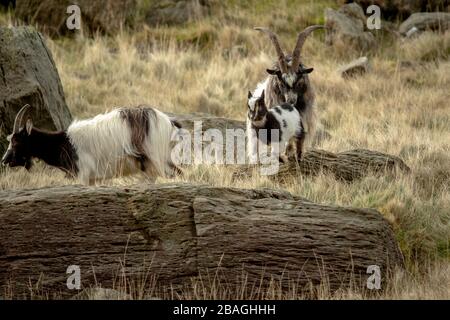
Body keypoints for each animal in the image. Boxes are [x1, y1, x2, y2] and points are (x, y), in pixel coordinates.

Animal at [2, 104, 181, 185]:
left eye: (16, 141)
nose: (4, 160)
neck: (65, 143)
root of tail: (168, 122)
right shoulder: (93, 179)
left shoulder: (83, 174)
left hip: (156, 159)